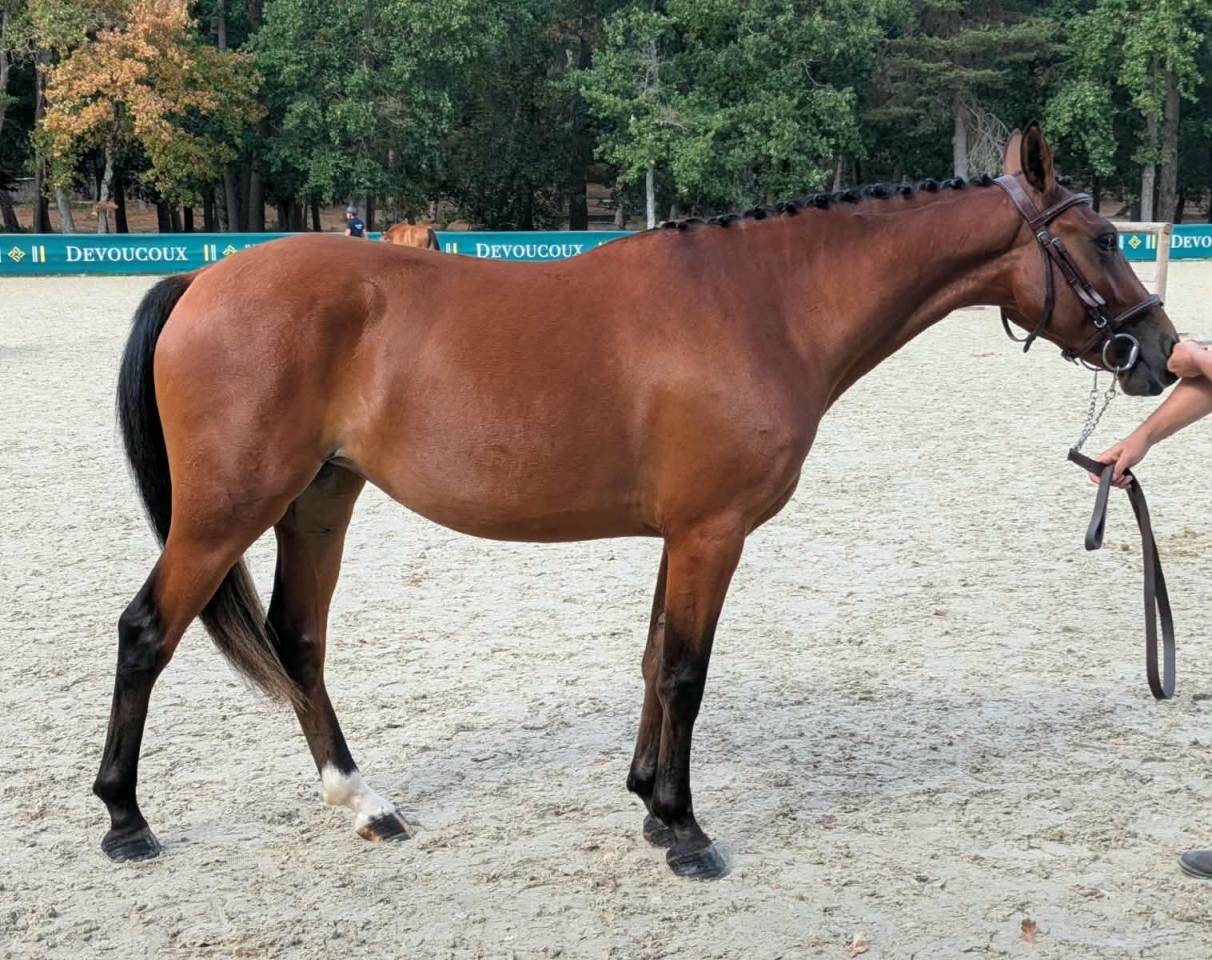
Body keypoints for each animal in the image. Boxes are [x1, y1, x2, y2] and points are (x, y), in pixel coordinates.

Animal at [96, 125, 1177, 880]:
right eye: (1102, 237)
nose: (1162, 354)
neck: (764, 304)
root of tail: (204, 280)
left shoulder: (680, 535)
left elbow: (657, 661)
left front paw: (650, 804)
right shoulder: (712, 533)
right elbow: (688, 674)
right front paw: (687, 831)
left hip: (321, 498)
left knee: (300, 640)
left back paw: (364, 802)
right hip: (226, 512)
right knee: (147, 631)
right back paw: (124, 820)